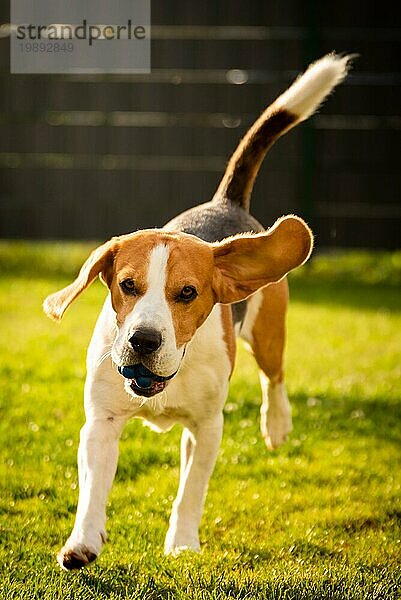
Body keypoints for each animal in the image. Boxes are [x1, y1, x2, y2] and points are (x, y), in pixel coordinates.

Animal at [43, 54, 350, 568]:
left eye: (187, 293)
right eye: (127, 286)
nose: (142, 341)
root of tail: (226, 203)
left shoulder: (207, 429)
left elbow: (191, 493)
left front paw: (182, 543)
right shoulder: (100, 424)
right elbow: (93, 490)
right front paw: (83, 541)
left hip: (269, 335)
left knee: (275, 377)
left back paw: (277, 424)